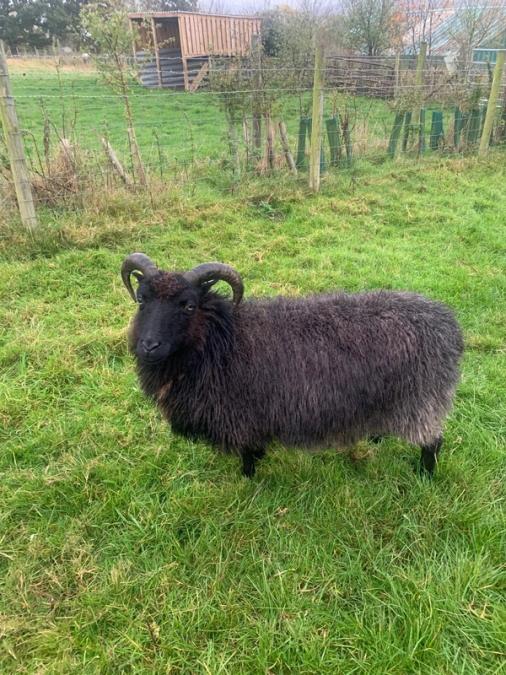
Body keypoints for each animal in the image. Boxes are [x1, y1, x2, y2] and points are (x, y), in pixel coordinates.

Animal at [121, 253, 464, 478]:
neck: (220, 340)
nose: (149, 346)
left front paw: (248, 478)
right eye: (141, 300)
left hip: (422, 400)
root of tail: (450, 325)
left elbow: (247, 453)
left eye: (189, 306)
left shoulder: (242, 415)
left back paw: (424, 476)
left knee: (433, 442)